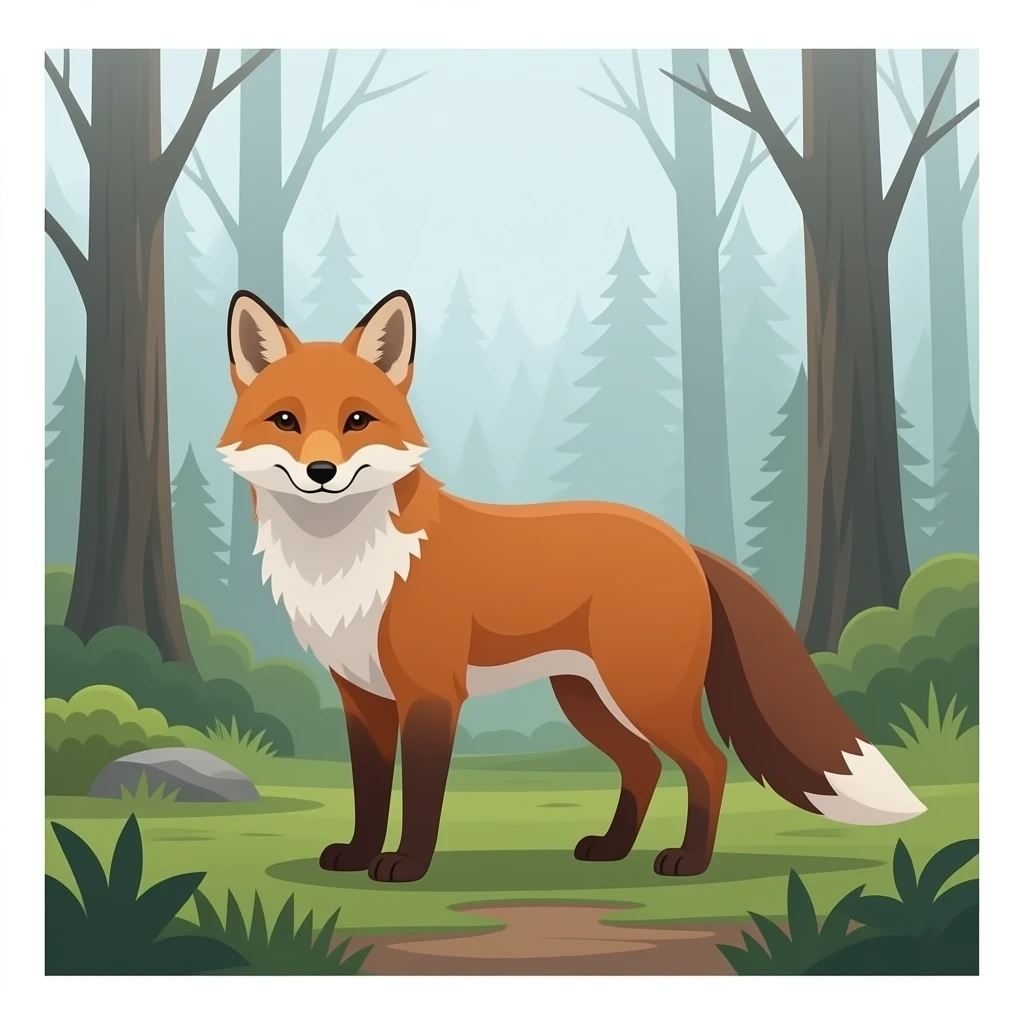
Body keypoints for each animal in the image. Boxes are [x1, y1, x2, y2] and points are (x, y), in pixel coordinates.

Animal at [218, 287, 926, 883]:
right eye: (285, 420)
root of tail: (683, 543)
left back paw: (689, 861)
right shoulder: (363, 698)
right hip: (587, 697)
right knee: (644, 765)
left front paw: (406, 866)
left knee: (708, 763)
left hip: (643, 693)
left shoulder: (430, 695)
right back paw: (612, 848)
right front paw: (359, 855)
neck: (345, 566)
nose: (321, 471)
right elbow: (368, 794)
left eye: (358, 420)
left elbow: (420, 796)